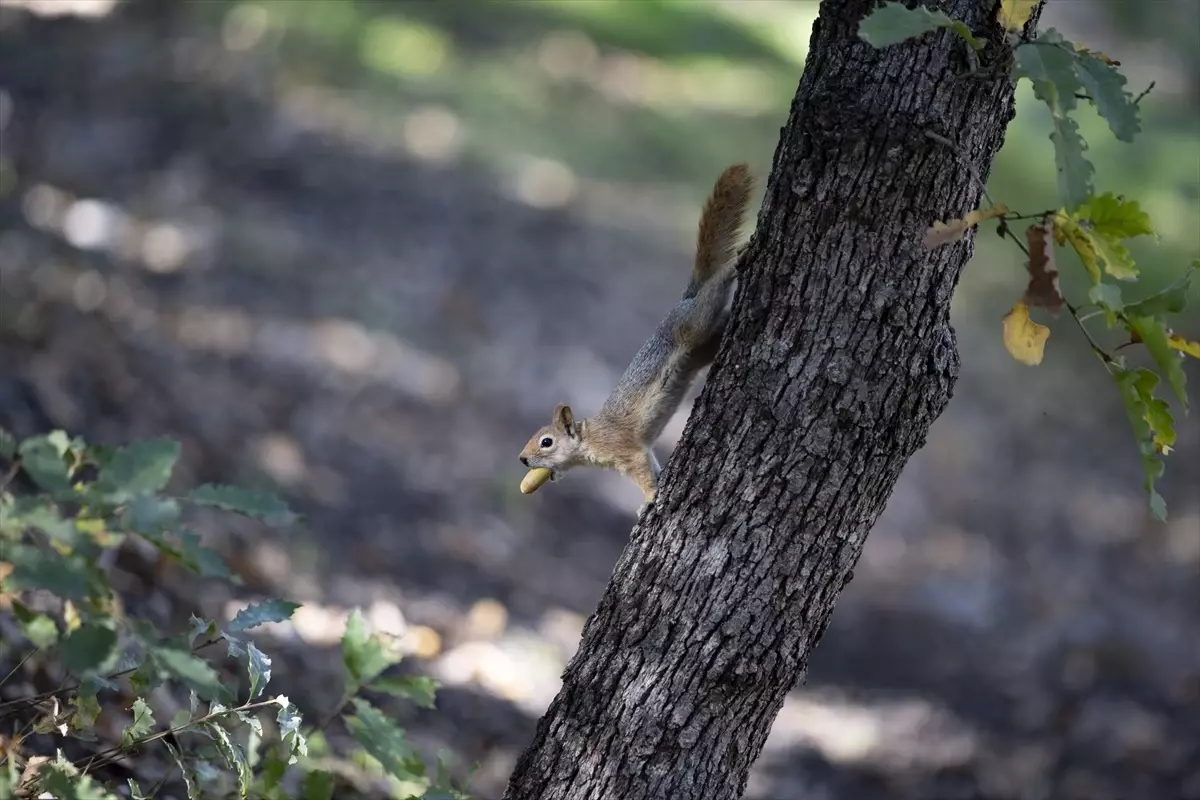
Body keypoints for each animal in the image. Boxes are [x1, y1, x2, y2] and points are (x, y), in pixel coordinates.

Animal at [518, 164, 758, 513]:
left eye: (546, 442)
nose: (522, 459)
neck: (589, 438)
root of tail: (685, 300)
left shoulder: (625, 450)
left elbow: (643, 472)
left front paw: (648, 499)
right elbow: (653, 465)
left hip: (692, 323)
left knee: (713, 290)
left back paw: (737, 261)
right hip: (703, 346)